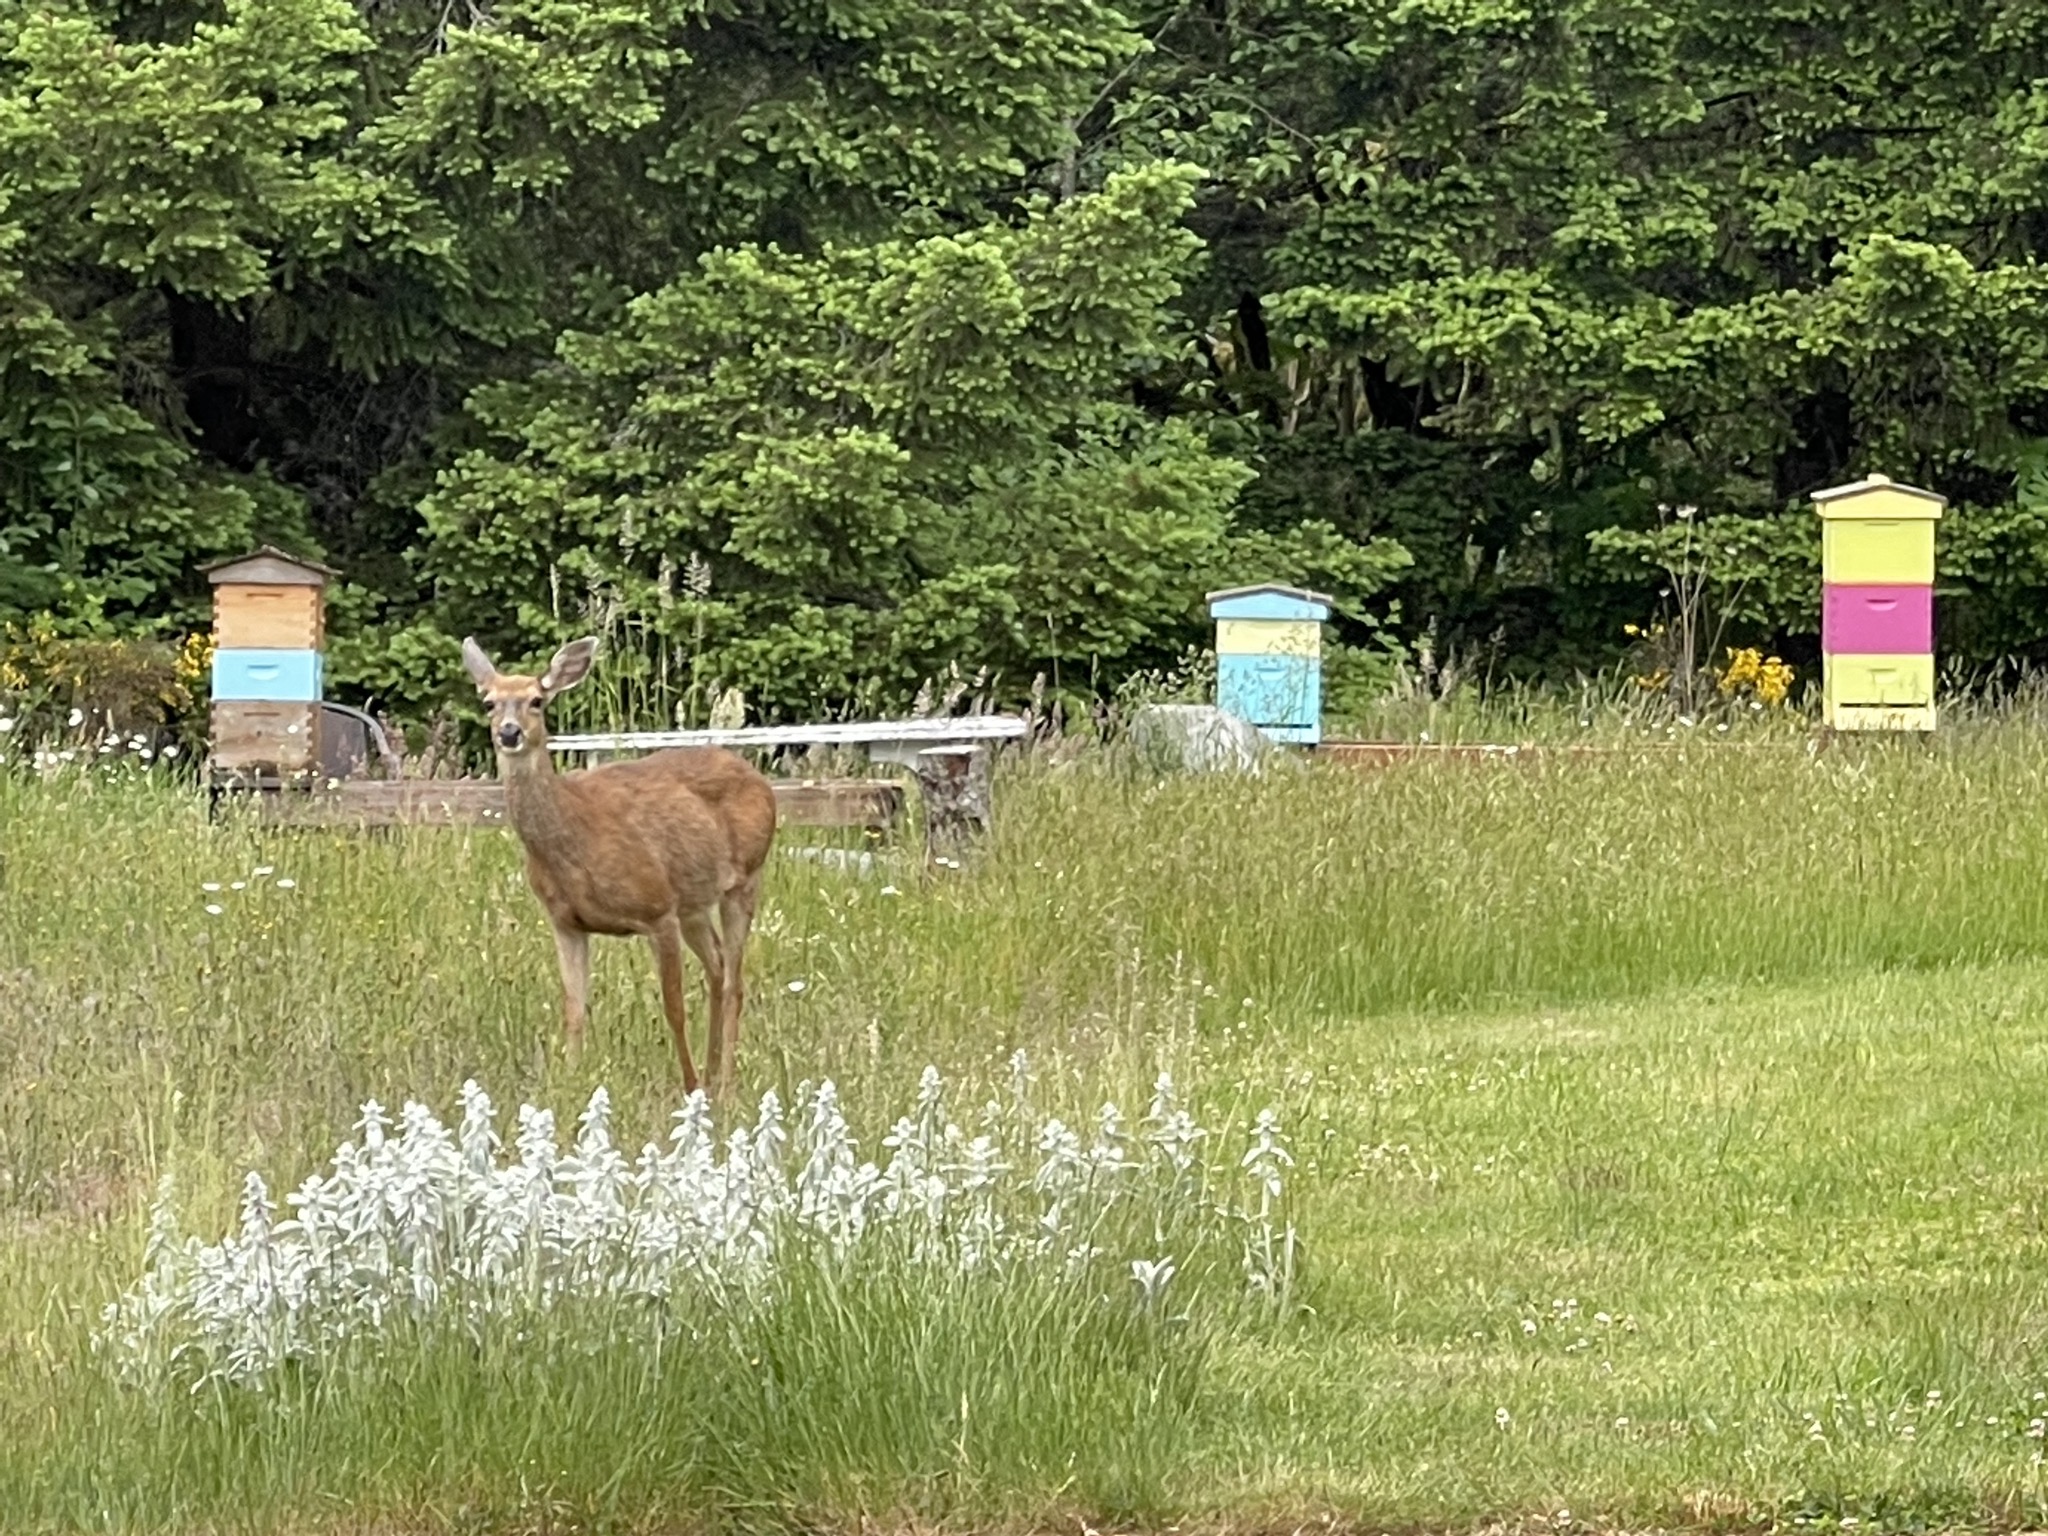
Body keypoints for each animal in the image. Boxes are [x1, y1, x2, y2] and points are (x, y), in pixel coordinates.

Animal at [461, 635, 778, 1100]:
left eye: (537, 700)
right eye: (488, 702)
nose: (509, 732)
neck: (575, 840)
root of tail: (760, 780)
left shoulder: (657, 909)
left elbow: (673, 1007)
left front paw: (687, 1086)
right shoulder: (566, 922)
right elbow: (574, 1008)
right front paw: (570, 1081)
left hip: (745, 878)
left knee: (735, 981)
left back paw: (721, 1084)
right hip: (693, 903)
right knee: (718, 967)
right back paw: (712, 1072)